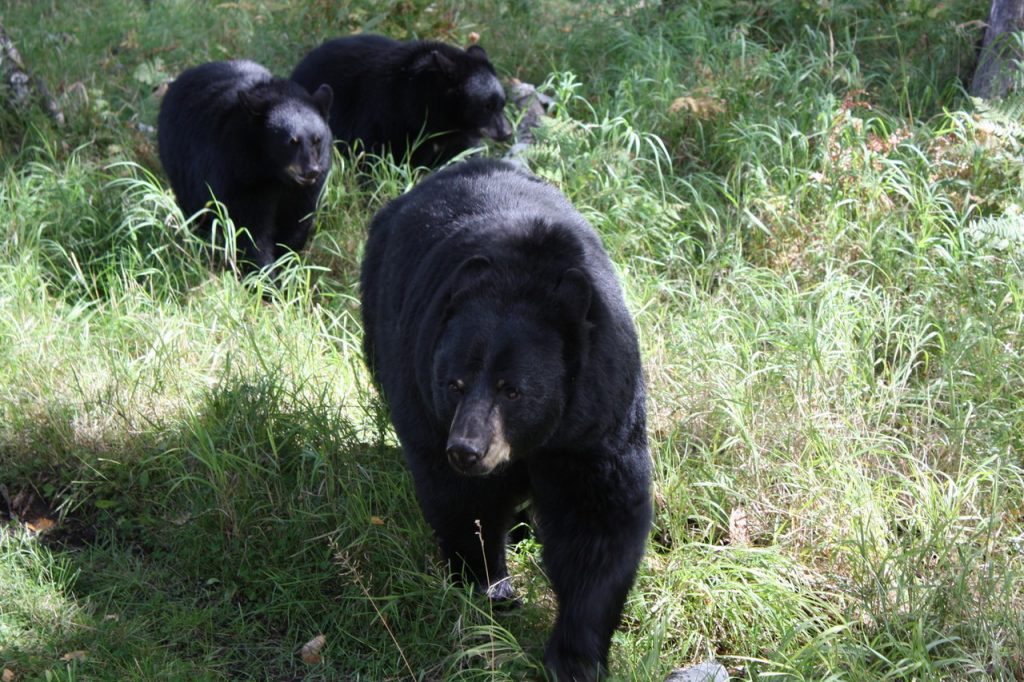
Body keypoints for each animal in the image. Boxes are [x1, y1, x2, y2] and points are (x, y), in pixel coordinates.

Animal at [157, 58, 331, 270]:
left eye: (317, 140)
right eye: (291, 142)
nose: (311, 171)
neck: (273, 174)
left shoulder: (306, 191)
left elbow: (295, 224)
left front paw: (287, 265)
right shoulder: (237, 174)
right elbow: (248, 229)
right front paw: (263, 273)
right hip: (179, 165)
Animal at [290, 35, 512, 166]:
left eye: (502, 104)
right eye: (486, 106)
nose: (507, 133)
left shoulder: (455, 136)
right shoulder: (383, 114)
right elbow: (374, 155)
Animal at [360, 156, 647, 675]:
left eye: (513, 390)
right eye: (453, 383)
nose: (467, 450)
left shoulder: (598, 420)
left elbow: (599, 519)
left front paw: (576, 655)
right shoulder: (426, 401)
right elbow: (461, 503)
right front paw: (490, 586)